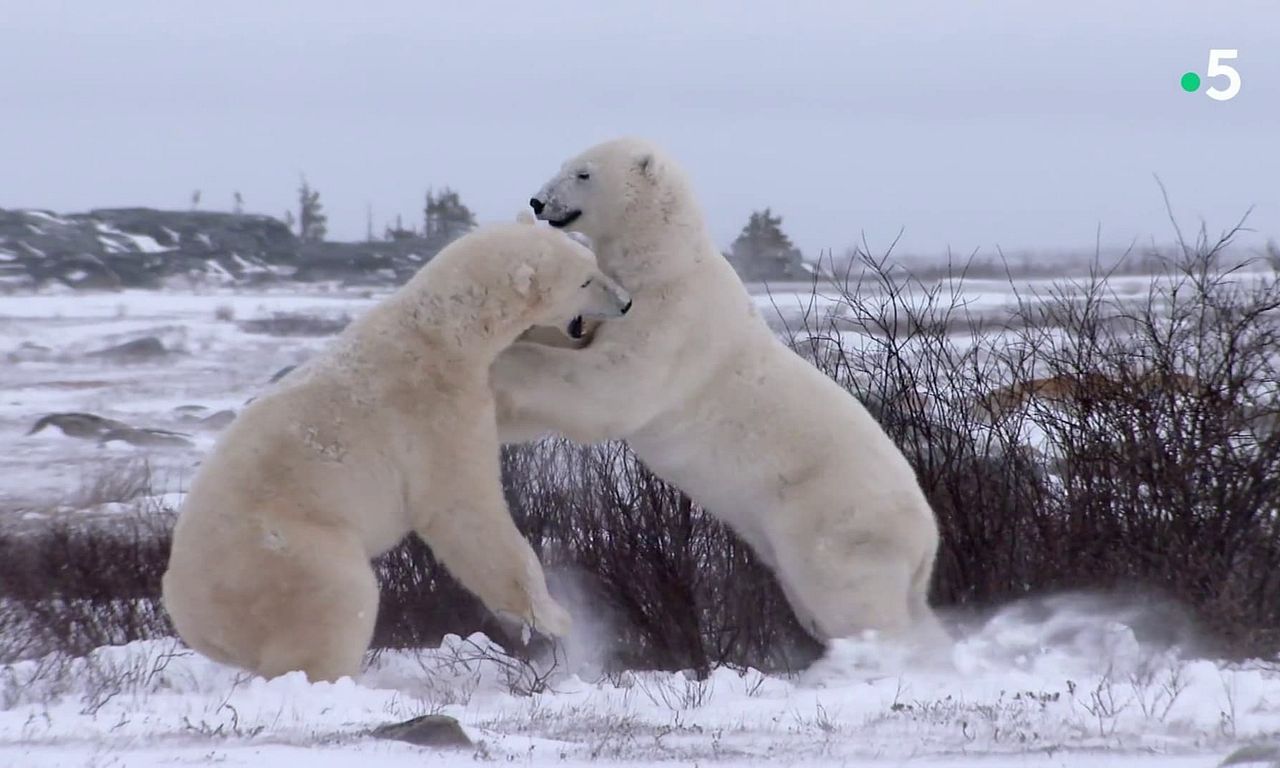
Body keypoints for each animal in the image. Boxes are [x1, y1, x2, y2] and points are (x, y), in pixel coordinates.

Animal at [162, 219, 631, 683]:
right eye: (586, 279)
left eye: (592, 261)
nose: (626, 302)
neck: (442, 330)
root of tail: (185, 608)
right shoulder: (433, 414)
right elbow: (464, 510)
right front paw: (554, 618)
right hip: (284, 550)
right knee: (341, 600)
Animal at [492, 138, 946, 648]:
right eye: (564, 164)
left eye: (583, 173)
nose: (538, 201)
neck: (666, 262)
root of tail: (928, 539)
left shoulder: (673, 321)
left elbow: (609, 390)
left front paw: (503, 367)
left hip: (838, 526)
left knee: (859, 606)